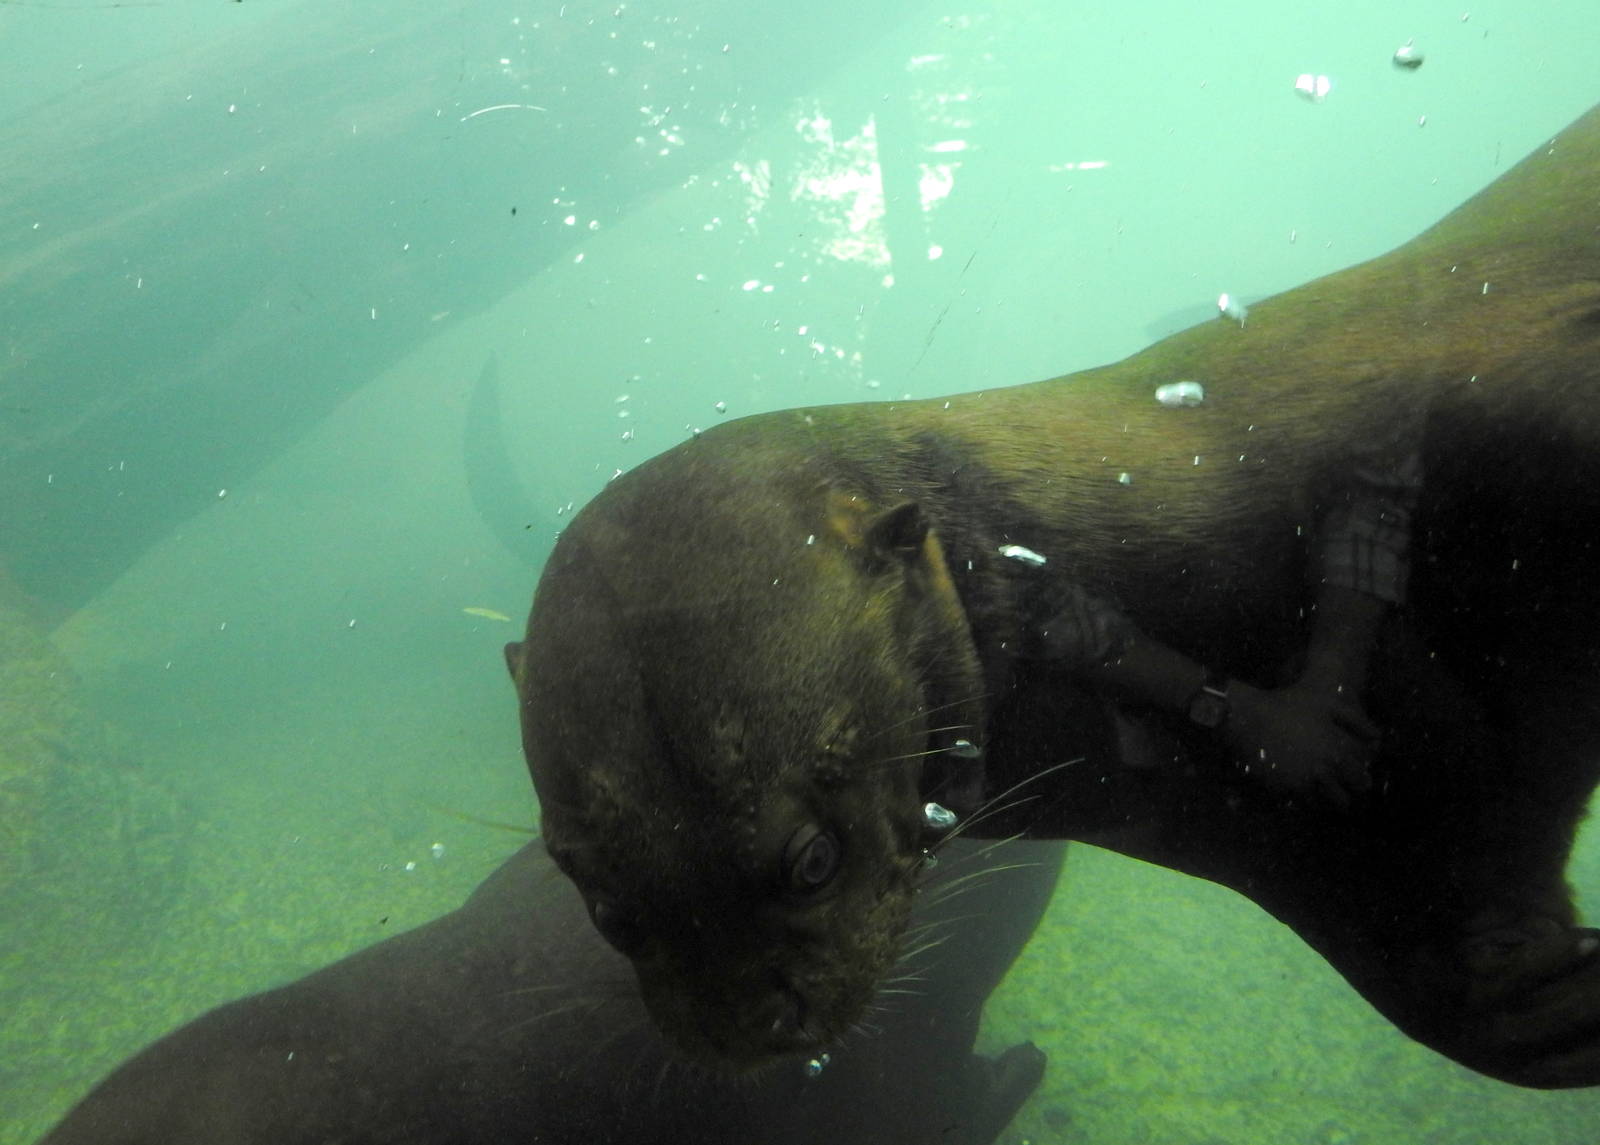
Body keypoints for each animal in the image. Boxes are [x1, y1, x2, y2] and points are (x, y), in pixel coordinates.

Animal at [506, 101, 1600, 1087]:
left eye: (813, 858)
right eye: (609, 911)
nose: (750, 1028)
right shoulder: (1253, 831)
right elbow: (1439, 945)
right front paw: (1551, 994)